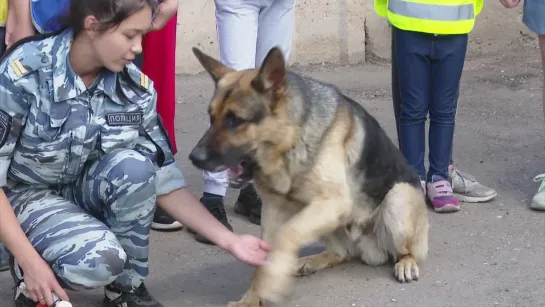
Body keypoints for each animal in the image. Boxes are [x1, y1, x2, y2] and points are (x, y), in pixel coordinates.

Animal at [189, 47, 428, 306]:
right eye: (211, 117)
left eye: (235, 120)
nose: (194, 157)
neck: (292, 140)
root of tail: (367, 248)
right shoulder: (273, 211)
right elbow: (264, 259)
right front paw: (251, 298)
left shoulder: (332, 203)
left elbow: (288, 234)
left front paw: (273, 280)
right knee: (341, 253)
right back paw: (309, 261)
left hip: (397, 197)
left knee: (405, 250)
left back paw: (406, 263)